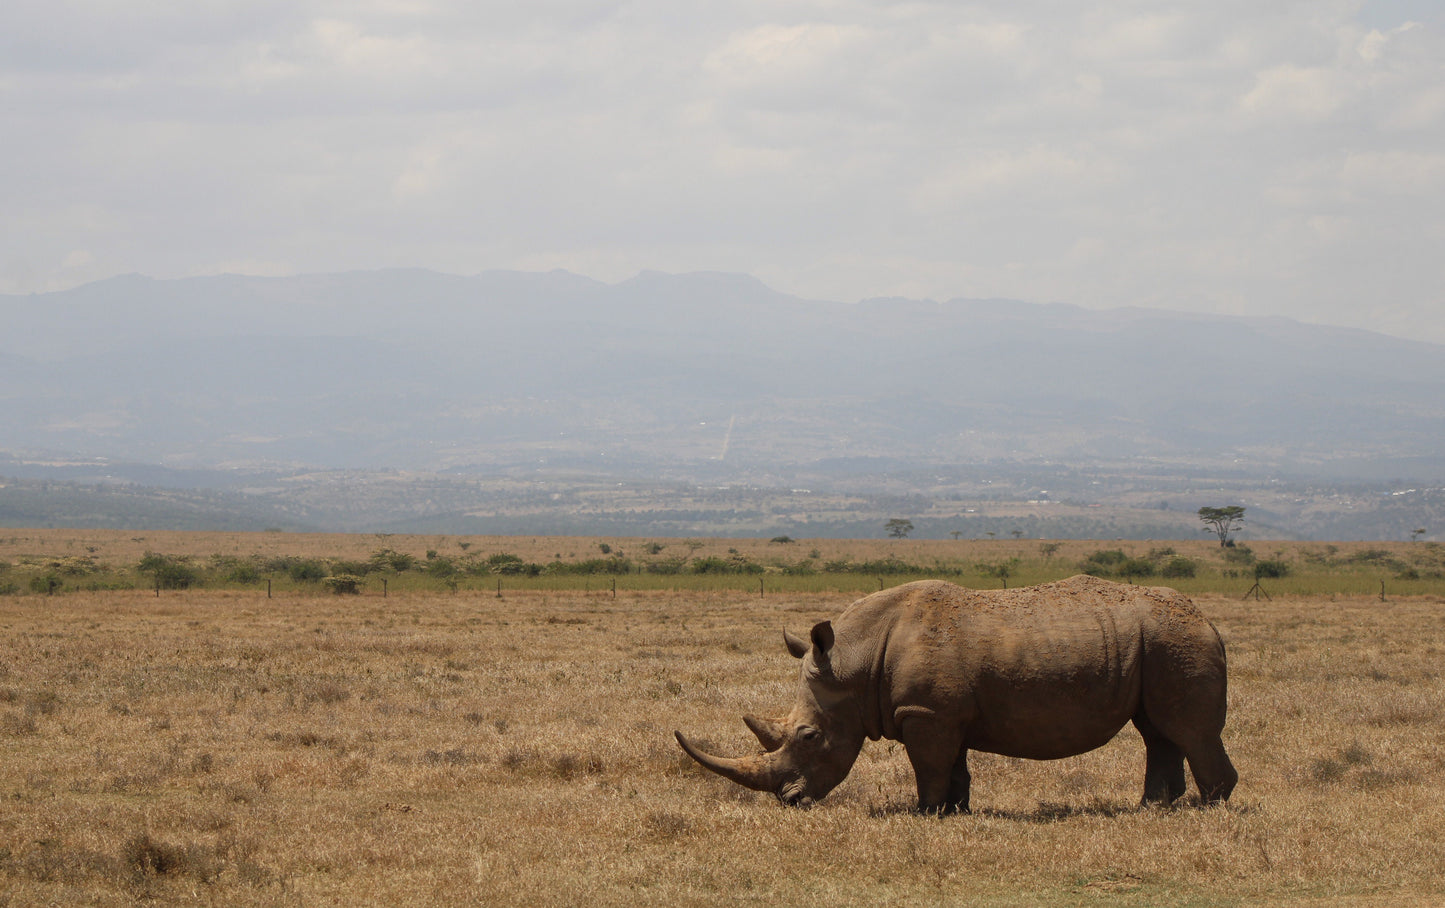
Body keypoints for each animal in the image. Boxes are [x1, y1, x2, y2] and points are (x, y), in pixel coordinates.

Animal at [675, 575, 1237, 812]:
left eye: (809, 737)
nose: (790, 802)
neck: (854, 661)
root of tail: (1210, 621)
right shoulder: (943, 712)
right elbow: (955, 766)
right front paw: (956, 812)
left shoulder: (925, 712)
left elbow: (929, 766)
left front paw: (925, 813)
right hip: (1156, 644)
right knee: (1156, 729)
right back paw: (1153, 808)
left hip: (1176, 641)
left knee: (1188, 730)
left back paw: (1208, 809)